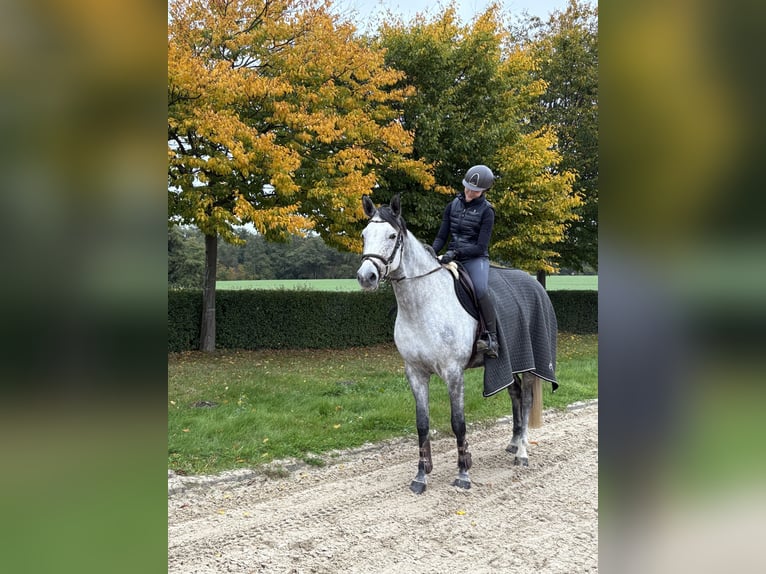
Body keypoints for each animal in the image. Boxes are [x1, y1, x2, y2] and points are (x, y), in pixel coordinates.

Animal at [356, 194, 557, 494]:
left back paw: (522, 452)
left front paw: (463, 474)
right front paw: (421, 476)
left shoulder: (453, 373)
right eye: (364, 234)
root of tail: (535, 284)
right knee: (516, 394)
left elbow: (458, 423)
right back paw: (513, 443)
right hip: (508, 365)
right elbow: (422, 424)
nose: (366, 276)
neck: (423, 304)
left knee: (526, 399)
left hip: (529, 362)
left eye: (392, 235)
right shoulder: (415, 373)